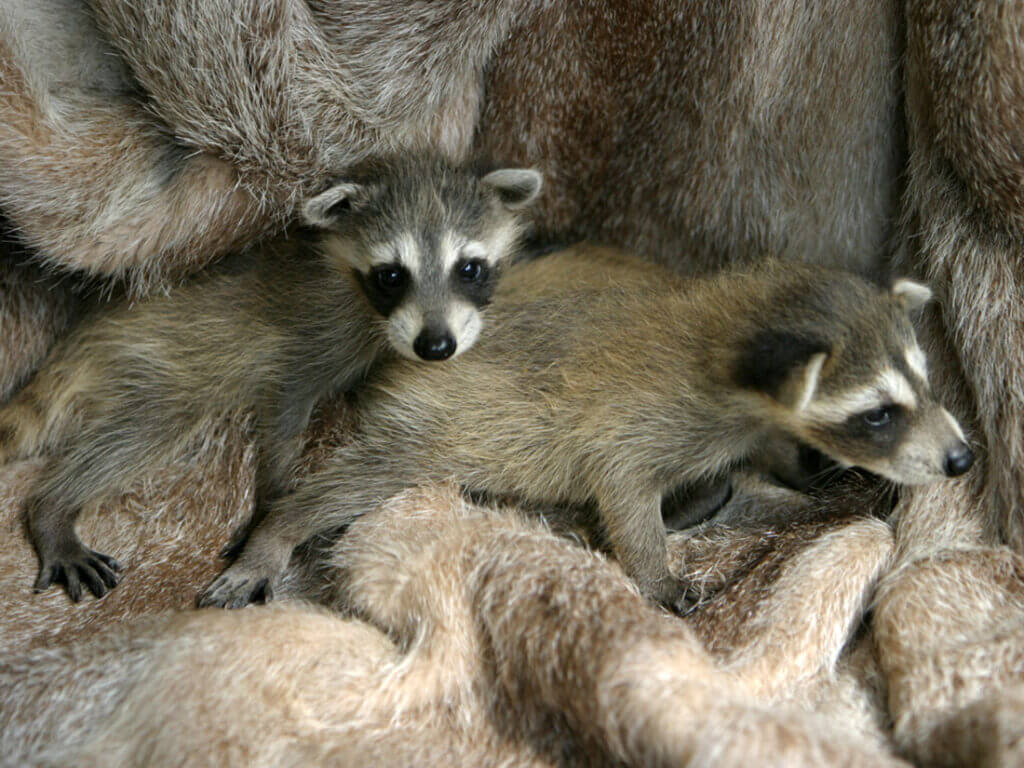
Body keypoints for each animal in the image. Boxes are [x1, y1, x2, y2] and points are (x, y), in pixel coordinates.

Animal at [1, 153, 541, 602]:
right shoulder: (307, 341)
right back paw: (53, 507)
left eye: (469, 268)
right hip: (162, 358)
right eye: (391, 275)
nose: (435, 346)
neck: (359, 294)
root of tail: (86, 333)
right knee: (142, 432)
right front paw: (272, 504)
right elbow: (282, 414)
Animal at [203, 251, 972, 611]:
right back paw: (279, 530)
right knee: (352, 482)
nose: (962, 458)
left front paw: (790, 465)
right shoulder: (638, 417)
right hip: (435, 425)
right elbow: (623, 491)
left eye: (926, 380)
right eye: (879, 413)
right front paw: (657, 570)